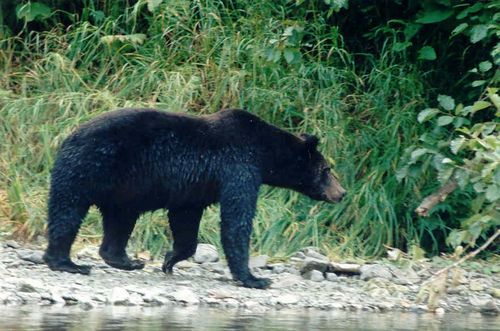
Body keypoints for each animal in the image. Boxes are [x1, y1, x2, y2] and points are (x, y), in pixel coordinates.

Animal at [44, 108, 344, 288]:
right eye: (327, 170)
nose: (341, 193)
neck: (265, 152)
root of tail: (68, 137)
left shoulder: (195, 188)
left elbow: (185, 220)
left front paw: (169, 260)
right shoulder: (239, 167)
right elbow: (237, 219)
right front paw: (254, 278)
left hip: (122, 189)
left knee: (120, 220)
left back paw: (125, 260)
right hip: (88, 167)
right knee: (67, 212)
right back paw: (67, 263)